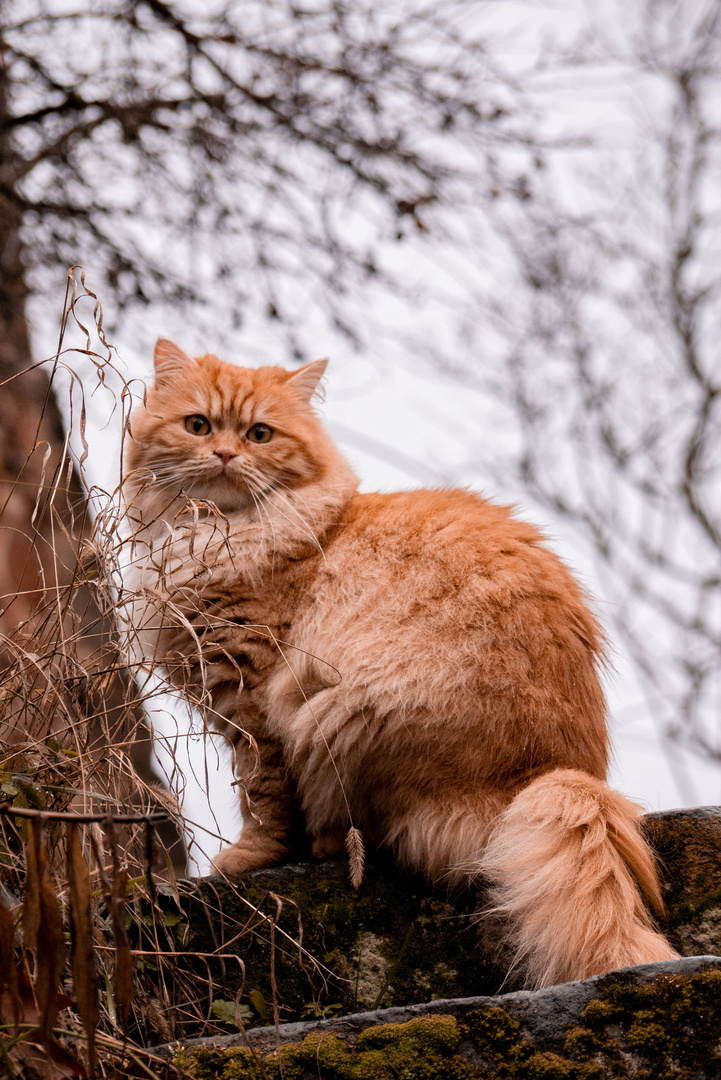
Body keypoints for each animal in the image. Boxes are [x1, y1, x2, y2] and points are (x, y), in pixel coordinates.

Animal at [120, 339, 677, 989]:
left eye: (260, 434)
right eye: (197, 426)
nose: (226, 454)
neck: (208, 536)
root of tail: (554, 773)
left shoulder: (252, 691)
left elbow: (261, 792)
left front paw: (247, 859)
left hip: (336, 711)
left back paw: (330, 842)